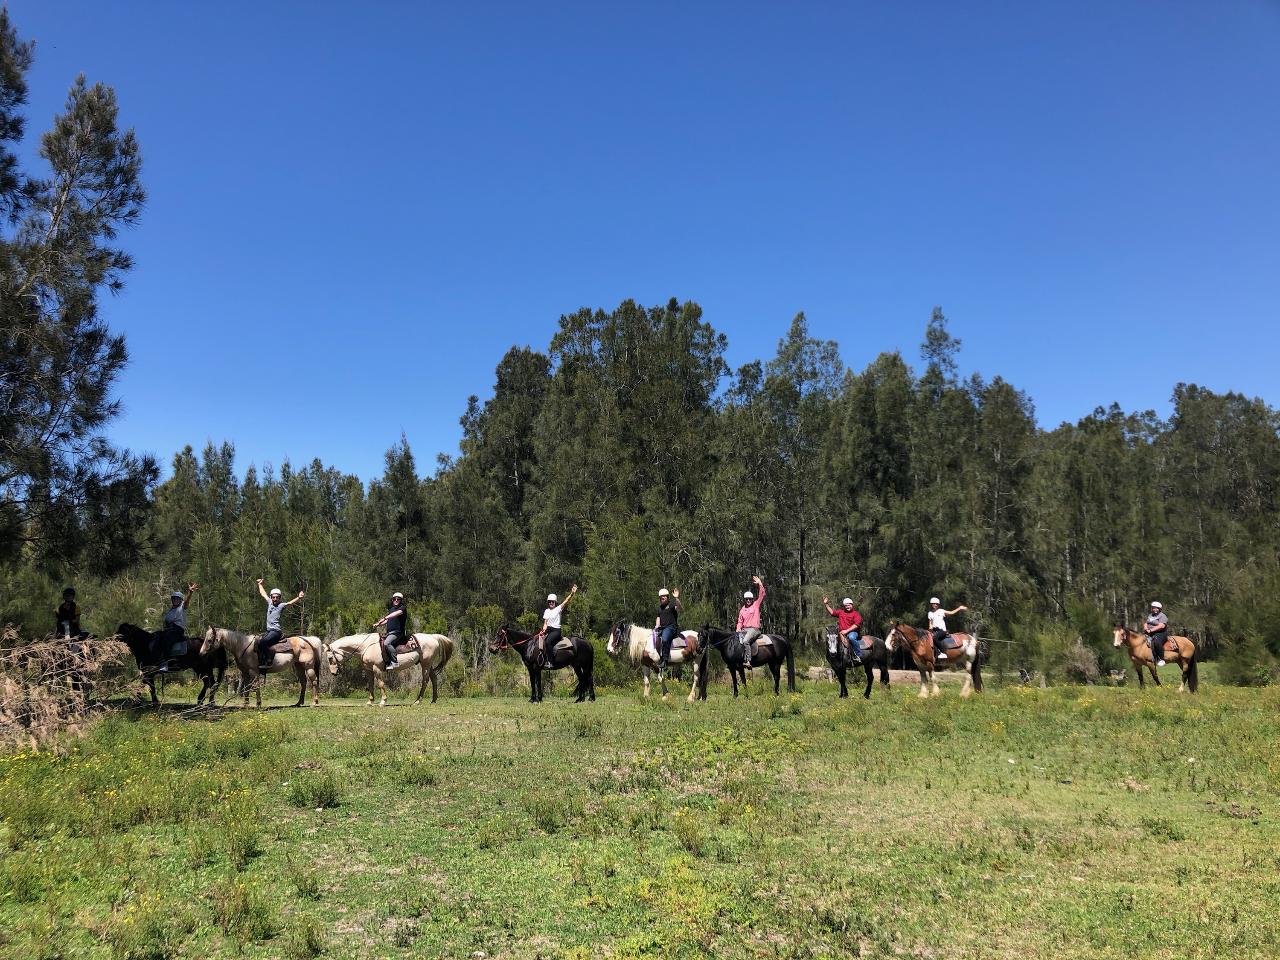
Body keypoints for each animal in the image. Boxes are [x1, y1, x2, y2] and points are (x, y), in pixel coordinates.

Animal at [197, 627, 325, 711]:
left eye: (209, 640)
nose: (201, 653)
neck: (243, 646)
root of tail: (308, 640)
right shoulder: (245, 672)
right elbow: (247, 687)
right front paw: (246, 704)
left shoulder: (254, 671)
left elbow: (255, 687)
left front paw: (258, 704)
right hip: (298, 666)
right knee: (303, 683)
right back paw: (298, 703)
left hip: (308, 667)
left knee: (313, 681)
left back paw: (314, 702)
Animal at [325, 634, 455, 711]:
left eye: (330, 658)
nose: (333, 673)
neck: (367, 646)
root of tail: (433, 637)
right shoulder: (369, 670)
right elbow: (371, 685)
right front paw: (370, 702)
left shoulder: (377, 668)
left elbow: (381, 684)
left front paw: (383, 701)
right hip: (428, 664)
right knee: (434, 679)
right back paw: (433, 700)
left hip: (426, 664)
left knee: (425, 681)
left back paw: (418, 701)